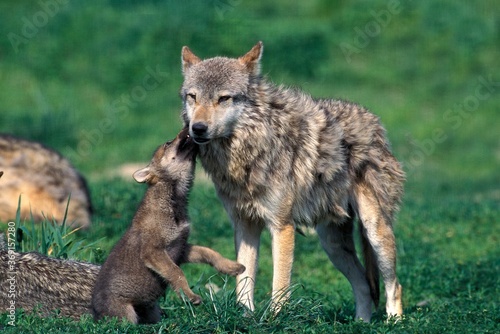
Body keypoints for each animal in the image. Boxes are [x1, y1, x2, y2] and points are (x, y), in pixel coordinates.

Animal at [92, 128, 246, 324]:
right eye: (167, 143)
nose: (189, 127)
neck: (173, 203)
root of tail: (94, 314)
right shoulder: (154, 251)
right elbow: (176, 272)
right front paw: (190, 297)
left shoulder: (181, 247)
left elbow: (209, 252)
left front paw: (232, 267)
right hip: (127, 316)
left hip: (152, 311)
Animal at [180, 41, 406, 320]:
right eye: (193, 97)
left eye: (223, 98)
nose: (198, 128)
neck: (247, 154)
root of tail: (376, 125)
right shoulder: (245, 225)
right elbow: (244, 280)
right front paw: (246, 318)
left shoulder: (282, 226)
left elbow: (280, 285)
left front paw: (274, 320)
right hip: (332, 246)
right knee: (364, 285)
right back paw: (361, 324)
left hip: (375, 231)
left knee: (394, 285)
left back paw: (394, 322)